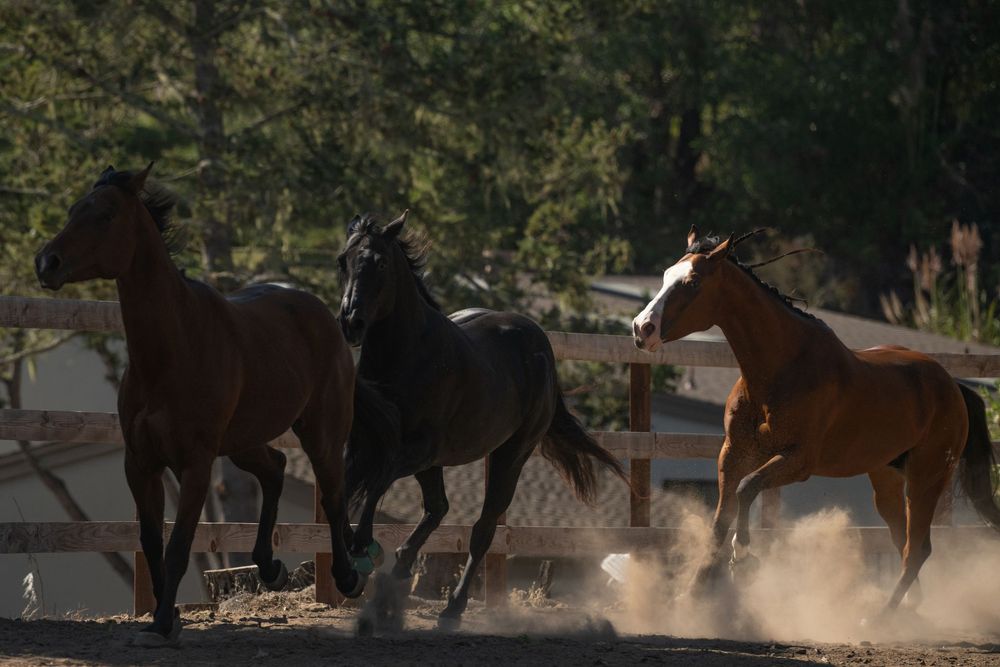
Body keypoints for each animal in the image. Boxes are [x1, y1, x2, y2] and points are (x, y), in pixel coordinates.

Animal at [34, 164, 368, 645]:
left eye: (105, 214)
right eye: (73, 210)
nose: (47, 263)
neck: (172, 351)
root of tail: (324, 313)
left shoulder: (194, 464)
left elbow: (177, 546)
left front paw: (161, 623)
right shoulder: (141, 463)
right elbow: (151, 541)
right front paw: (166, 615)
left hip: (320, 431)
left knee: (334, 495)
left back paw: (347, 577)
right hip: (243, 442)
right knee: (276, 468)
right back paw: (270, 567)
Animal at [337, 211, 628, 628]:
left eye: (380, 263)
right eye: (343, 261)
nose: (352, 322)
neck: (406, 357)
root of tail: (540, 345)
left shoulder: (417, 451)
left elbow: (376, 484)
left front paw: (361, 548)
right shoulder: (365, 446)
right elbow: (343, 491)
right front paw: (350, 561)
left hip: (510, 455)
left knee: (482, 530)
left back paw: (452, 609)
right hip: (449, 462)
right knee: (438, 508)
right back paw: (400, 574)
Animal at [631, 226, 1000, 614]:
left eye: (692, 283)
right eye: (665, 276)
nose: (642, 329)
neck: (780, 370)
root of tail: (954, 388)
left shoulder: (798, 461)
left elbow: (747, 489)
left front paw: (743, 557)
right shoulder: (733, 453)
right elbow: (720, 518)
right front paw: (692, 594)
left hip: (927, 477)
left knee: (918, 549)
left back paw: (880, 616)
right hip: (886, 477)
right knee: (902, 541)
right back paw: (908, 609)